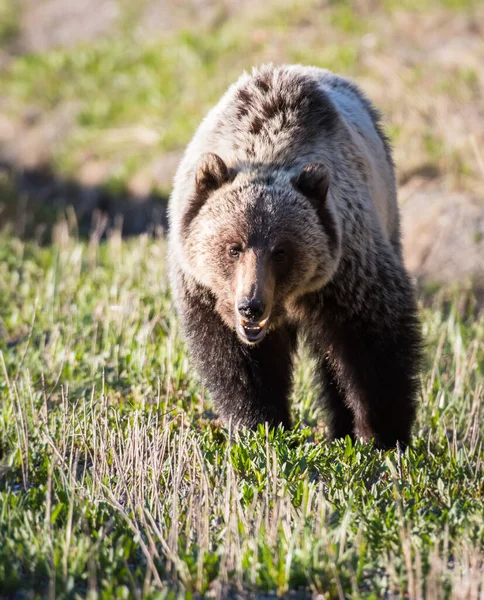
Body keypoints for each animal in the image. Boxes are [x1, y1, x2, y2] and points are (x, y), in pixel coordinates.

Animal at [168, 65, 422, 450]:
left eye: (281, 250)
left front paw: (382, 436)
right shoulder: (205, 293)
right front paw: (259, 426)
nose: (251, 305)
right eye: (233, 247)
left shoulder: (348, 269)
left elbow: (374, 345)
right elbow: (239, 366)